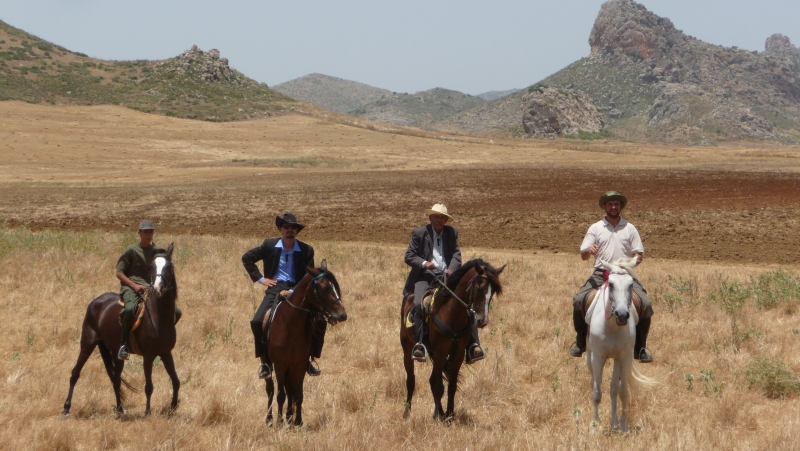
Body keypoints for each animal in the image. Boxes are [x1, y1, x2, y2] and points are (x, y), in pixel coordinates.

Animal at [62, 243, 180, 417]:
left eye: (169, 266)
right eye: (152, 267)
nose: (158, 288)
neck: (158, 317)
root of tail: (95, 302)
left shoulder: (166, 352)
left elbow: (176, 380)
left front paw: (173, 408)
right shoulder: (148, 356)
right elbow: (149, 386)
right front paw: (147, 412)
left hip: (115, 351)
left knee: (116, 380)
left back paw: (120, 410)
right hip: (87, 343)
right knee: (75, 373)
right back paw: (66, 408)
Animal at [264, 259, 347, 426]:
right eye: (324, 287)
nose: (342, 315)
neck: (290, 325)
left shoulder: (300, 364)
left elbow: (298, 394)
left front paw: (297, 421)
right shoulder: (280, 364)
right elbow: (280, 394)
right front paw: (279, 422)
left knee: (290, 389)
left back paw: (289, 418)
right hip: (270, 364)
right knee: (270, 389)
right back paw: (270, 419)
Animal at [400, 259, 505, 421]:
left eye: (492, 291)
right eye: (479, 287)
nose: (482, 321)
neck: (452, 313)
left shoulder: (458, 354)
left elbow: (451, 386)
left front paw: (449, 415)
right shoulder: (440, 352)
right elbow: (438, 387)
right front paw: (439, 417)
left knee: (432, 380)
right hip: (407, 348)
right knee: (411, 380)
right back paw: (407, 412)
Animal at [585, 256, 657, 432]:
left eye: (631, 284)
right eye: (610, 284)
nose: (622, 314)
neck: (612, 326)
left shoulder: (624, 357)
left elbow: (622, 392)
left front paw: (622, 425)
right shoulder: (597, 357)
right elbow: (597, 393)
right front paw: (594, 425)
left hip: (618, 360)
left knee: (614, 389)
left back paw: (614, 422)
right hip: (589, 357)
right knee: (593, 383)